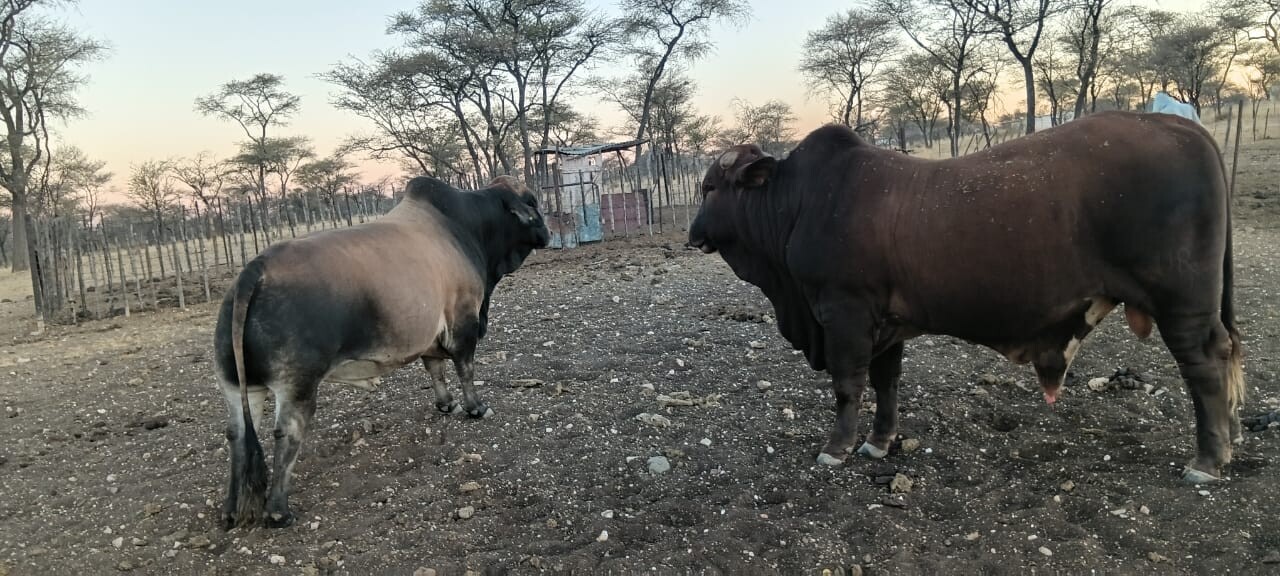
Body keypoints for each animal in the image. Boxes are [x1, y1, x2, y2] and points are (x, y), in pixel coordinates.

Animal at [215, 175, 550, 529]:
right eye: (531, 201)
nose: (547, 232)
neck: (466, 226)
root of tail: (254, 269)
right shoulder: (463, 321)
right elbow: (465, 368)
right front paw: (476, 407)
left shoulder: (431, 337)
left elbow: (436, 370)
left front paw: (446, 404)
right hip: (297, 384)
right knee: (286, 433)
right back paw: (278, 511)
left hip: (236, 385)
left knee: (237, 434)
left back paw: (231, 509)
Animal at [688, 111, 1244, 486]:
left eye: (709, 188)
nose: (692, 234)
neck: (799, 204)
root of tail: (1182, 127)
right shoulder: (885, 323)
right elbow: (886, 383)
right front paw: (878, 442)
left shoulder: (844, 313)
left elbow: (849, 385)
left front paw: (837, 447)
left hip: (1182, 303)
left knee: (1204, 364)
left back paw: (1207, 460)